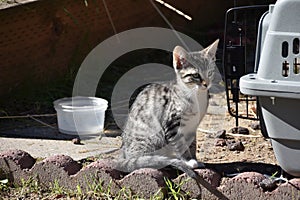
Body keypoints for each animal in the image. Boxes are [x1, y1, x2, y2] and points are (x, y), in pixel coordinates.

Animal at [116, 39, 219, 175]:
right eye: (196, 75)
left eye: (210, 73)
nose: (206, 84)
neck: (196, 96)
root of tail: (124, 153)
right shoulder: (172, 124)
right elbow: (181, 145)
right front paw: (188, 161)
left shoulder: (192, 127)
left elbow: (192, 144)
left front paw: (195, 159)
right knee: (140, 161)